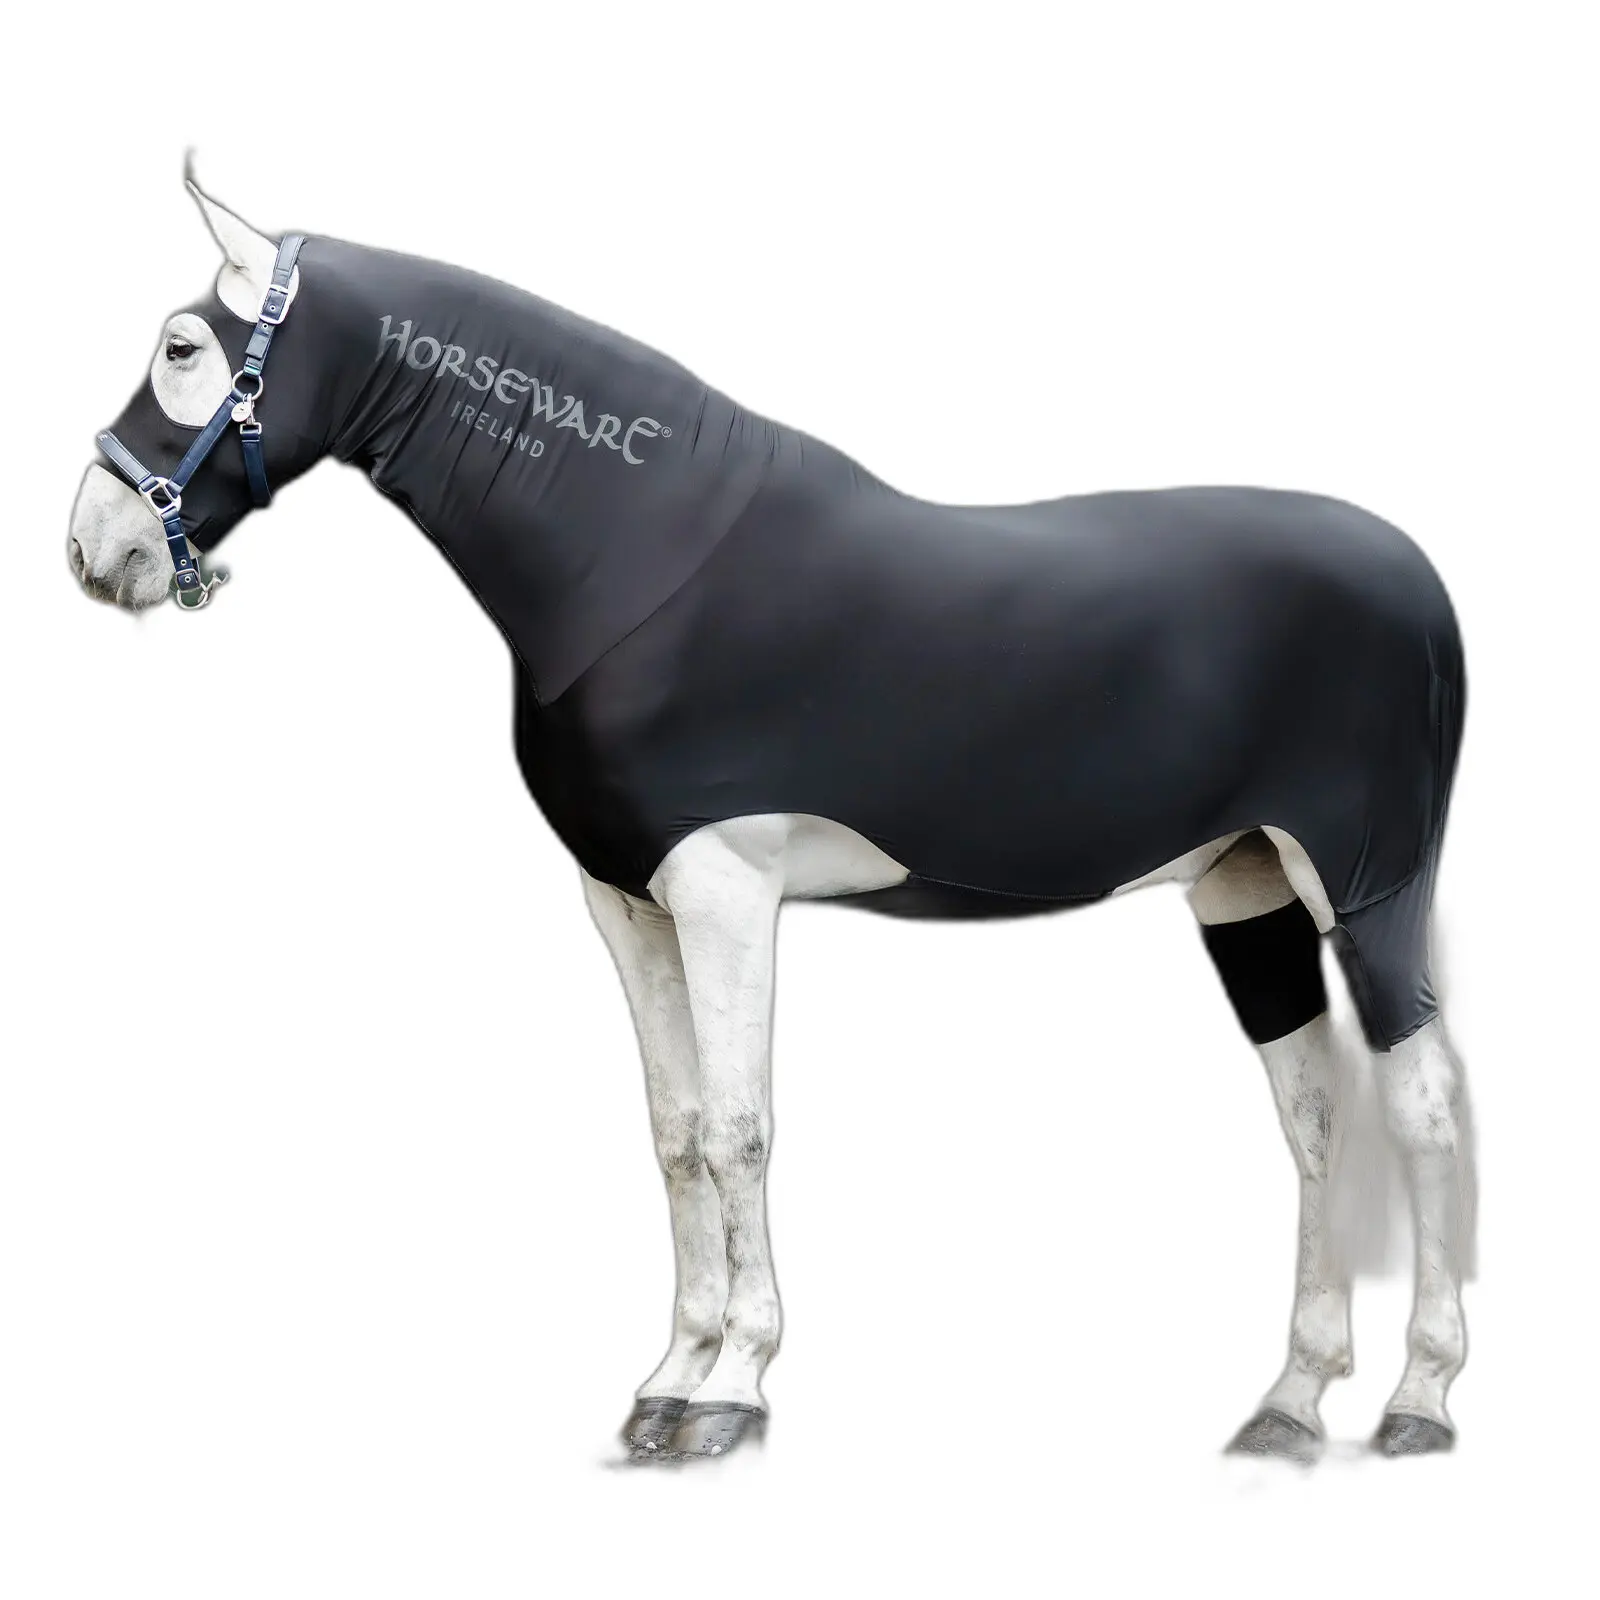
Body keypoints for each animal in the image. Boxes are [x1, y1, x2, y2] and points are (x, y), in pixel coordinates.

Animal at [66, 166, 1474, 1463]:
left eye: (183, 346)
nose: (94, 549)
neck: (632, 562)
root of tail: (1417, 579)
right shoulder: (627, 899)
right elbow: (679, 1133)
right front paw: (667, 1379)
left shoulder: (725, 889)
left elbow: (744, 1131)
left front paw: (732, 1391)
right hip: (1243, 889)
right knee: (1314, 1122)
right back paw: (1289, 1403)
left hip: (1365, 886)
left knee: (1422, 1104)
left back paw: (1417, 1401)